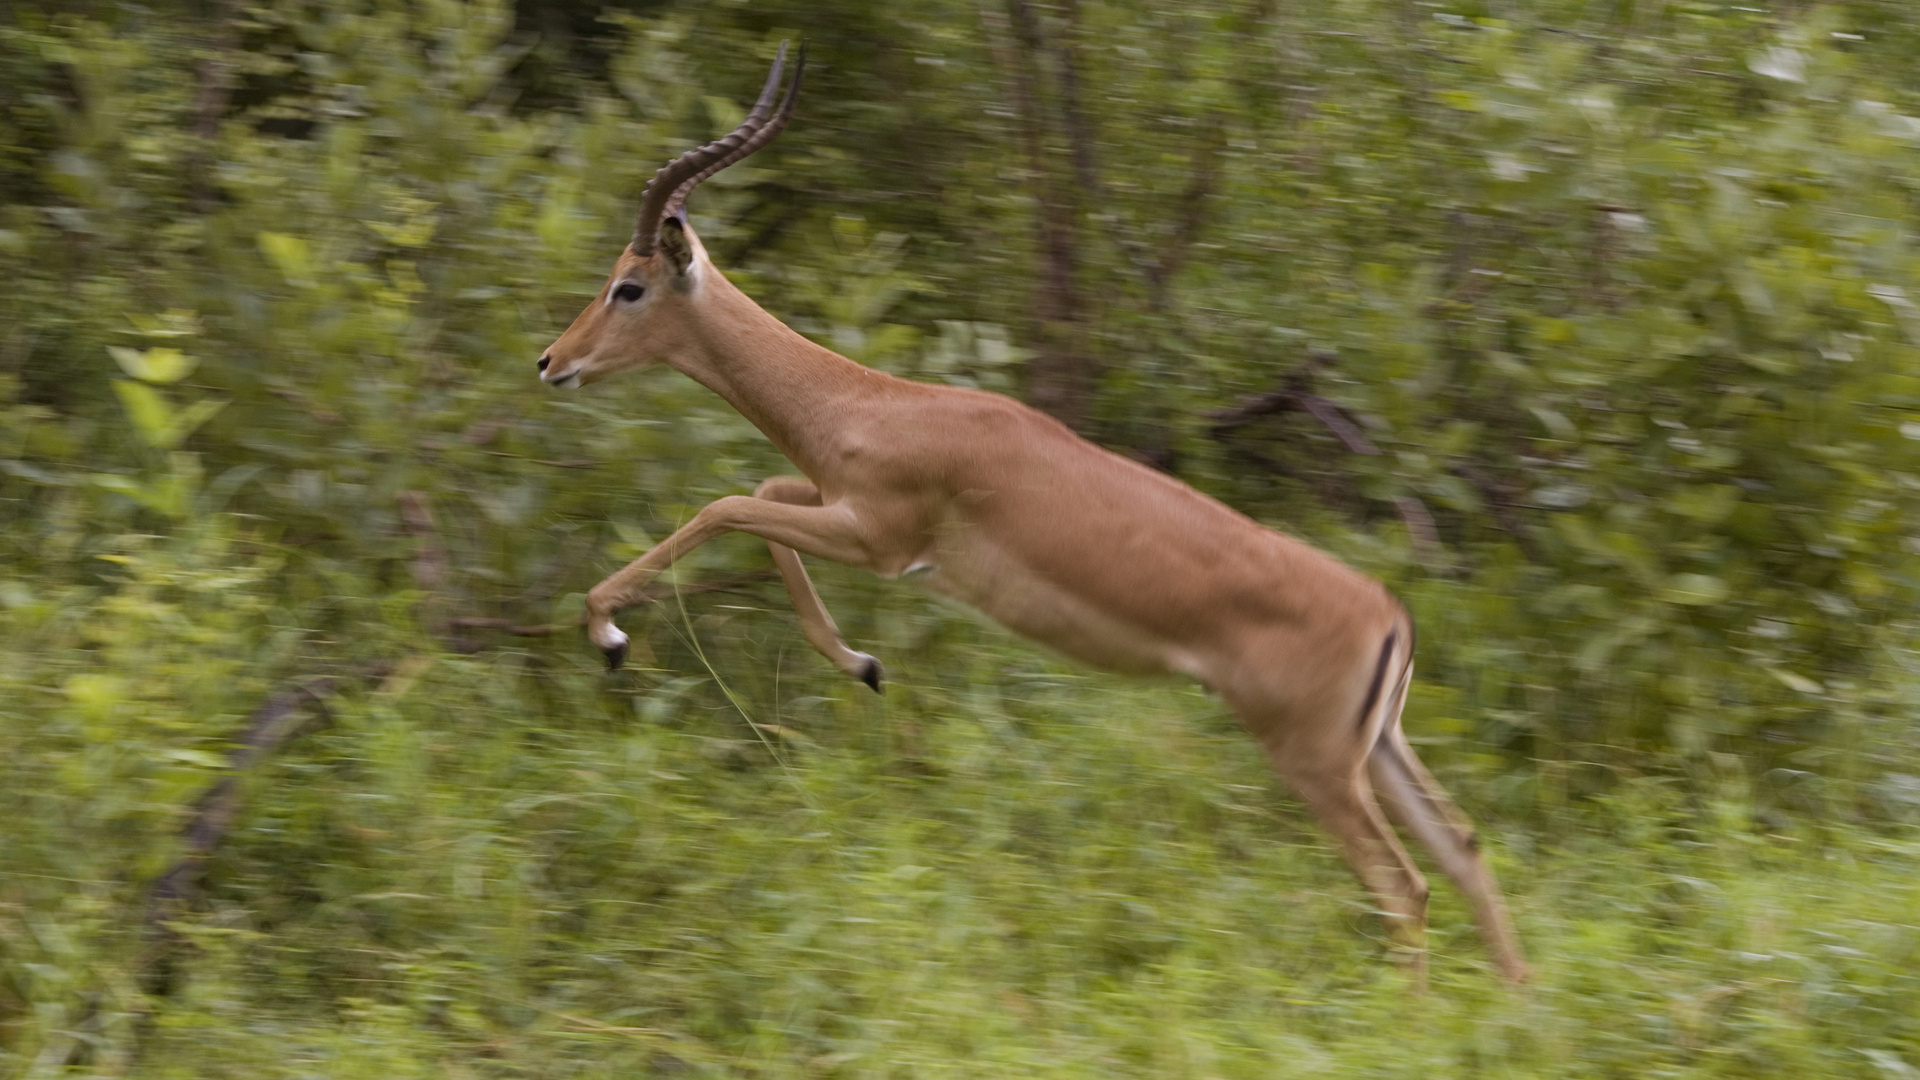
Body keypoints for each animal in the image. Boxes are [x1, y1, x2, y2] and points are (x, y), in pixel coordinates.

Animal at [537, 44, 1528, 983]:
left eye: (629, 284)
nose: (551, 362)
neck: (871, 407)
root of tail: (1390, 617)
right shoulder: (839, 509)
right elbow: (762, 498)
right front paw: (865, 665)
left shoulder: (880, 540)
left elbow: (725, 506)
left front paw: (610, 636)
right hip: (1382, 752)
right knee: (1468, 851)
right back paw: (1513, 1011)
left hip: (1318, 765)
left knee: (1404, 886)